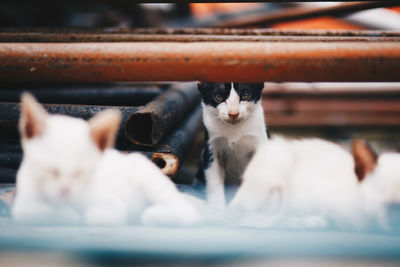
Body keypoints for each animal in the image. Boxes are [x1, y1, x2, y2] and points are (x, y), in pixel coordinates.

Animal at [12, 93, 203, 227]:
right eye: (50, 169)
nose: (65, 190)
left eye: (82, 172)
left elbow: (99, 215)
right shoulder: (24, 203)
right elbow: (29, 213)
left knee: (186, 211)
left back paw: (154, 214)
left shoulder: (112, 204)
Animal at [197, 82, 268, 210]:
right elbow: (214, 182)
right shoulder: (210, 150)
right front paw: (218, 209)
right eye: (218, 97)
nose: (233, 114)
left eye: (245, 95)